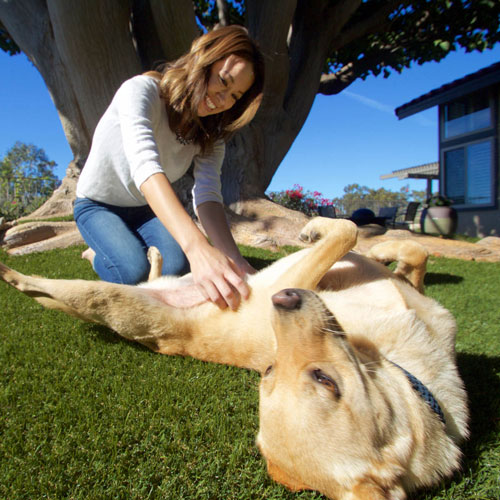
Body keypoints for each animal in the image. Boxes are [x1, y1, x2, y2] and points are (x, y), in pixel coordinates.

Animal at [0, 219, 468, 500]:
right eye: (270, 369)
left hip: (107, 302)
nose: (284, 299)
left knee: (48, 290)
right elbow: (379, 244)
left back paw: (18, 274)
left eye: (324, 379)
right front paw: (351, 235)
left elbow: (368, 241)